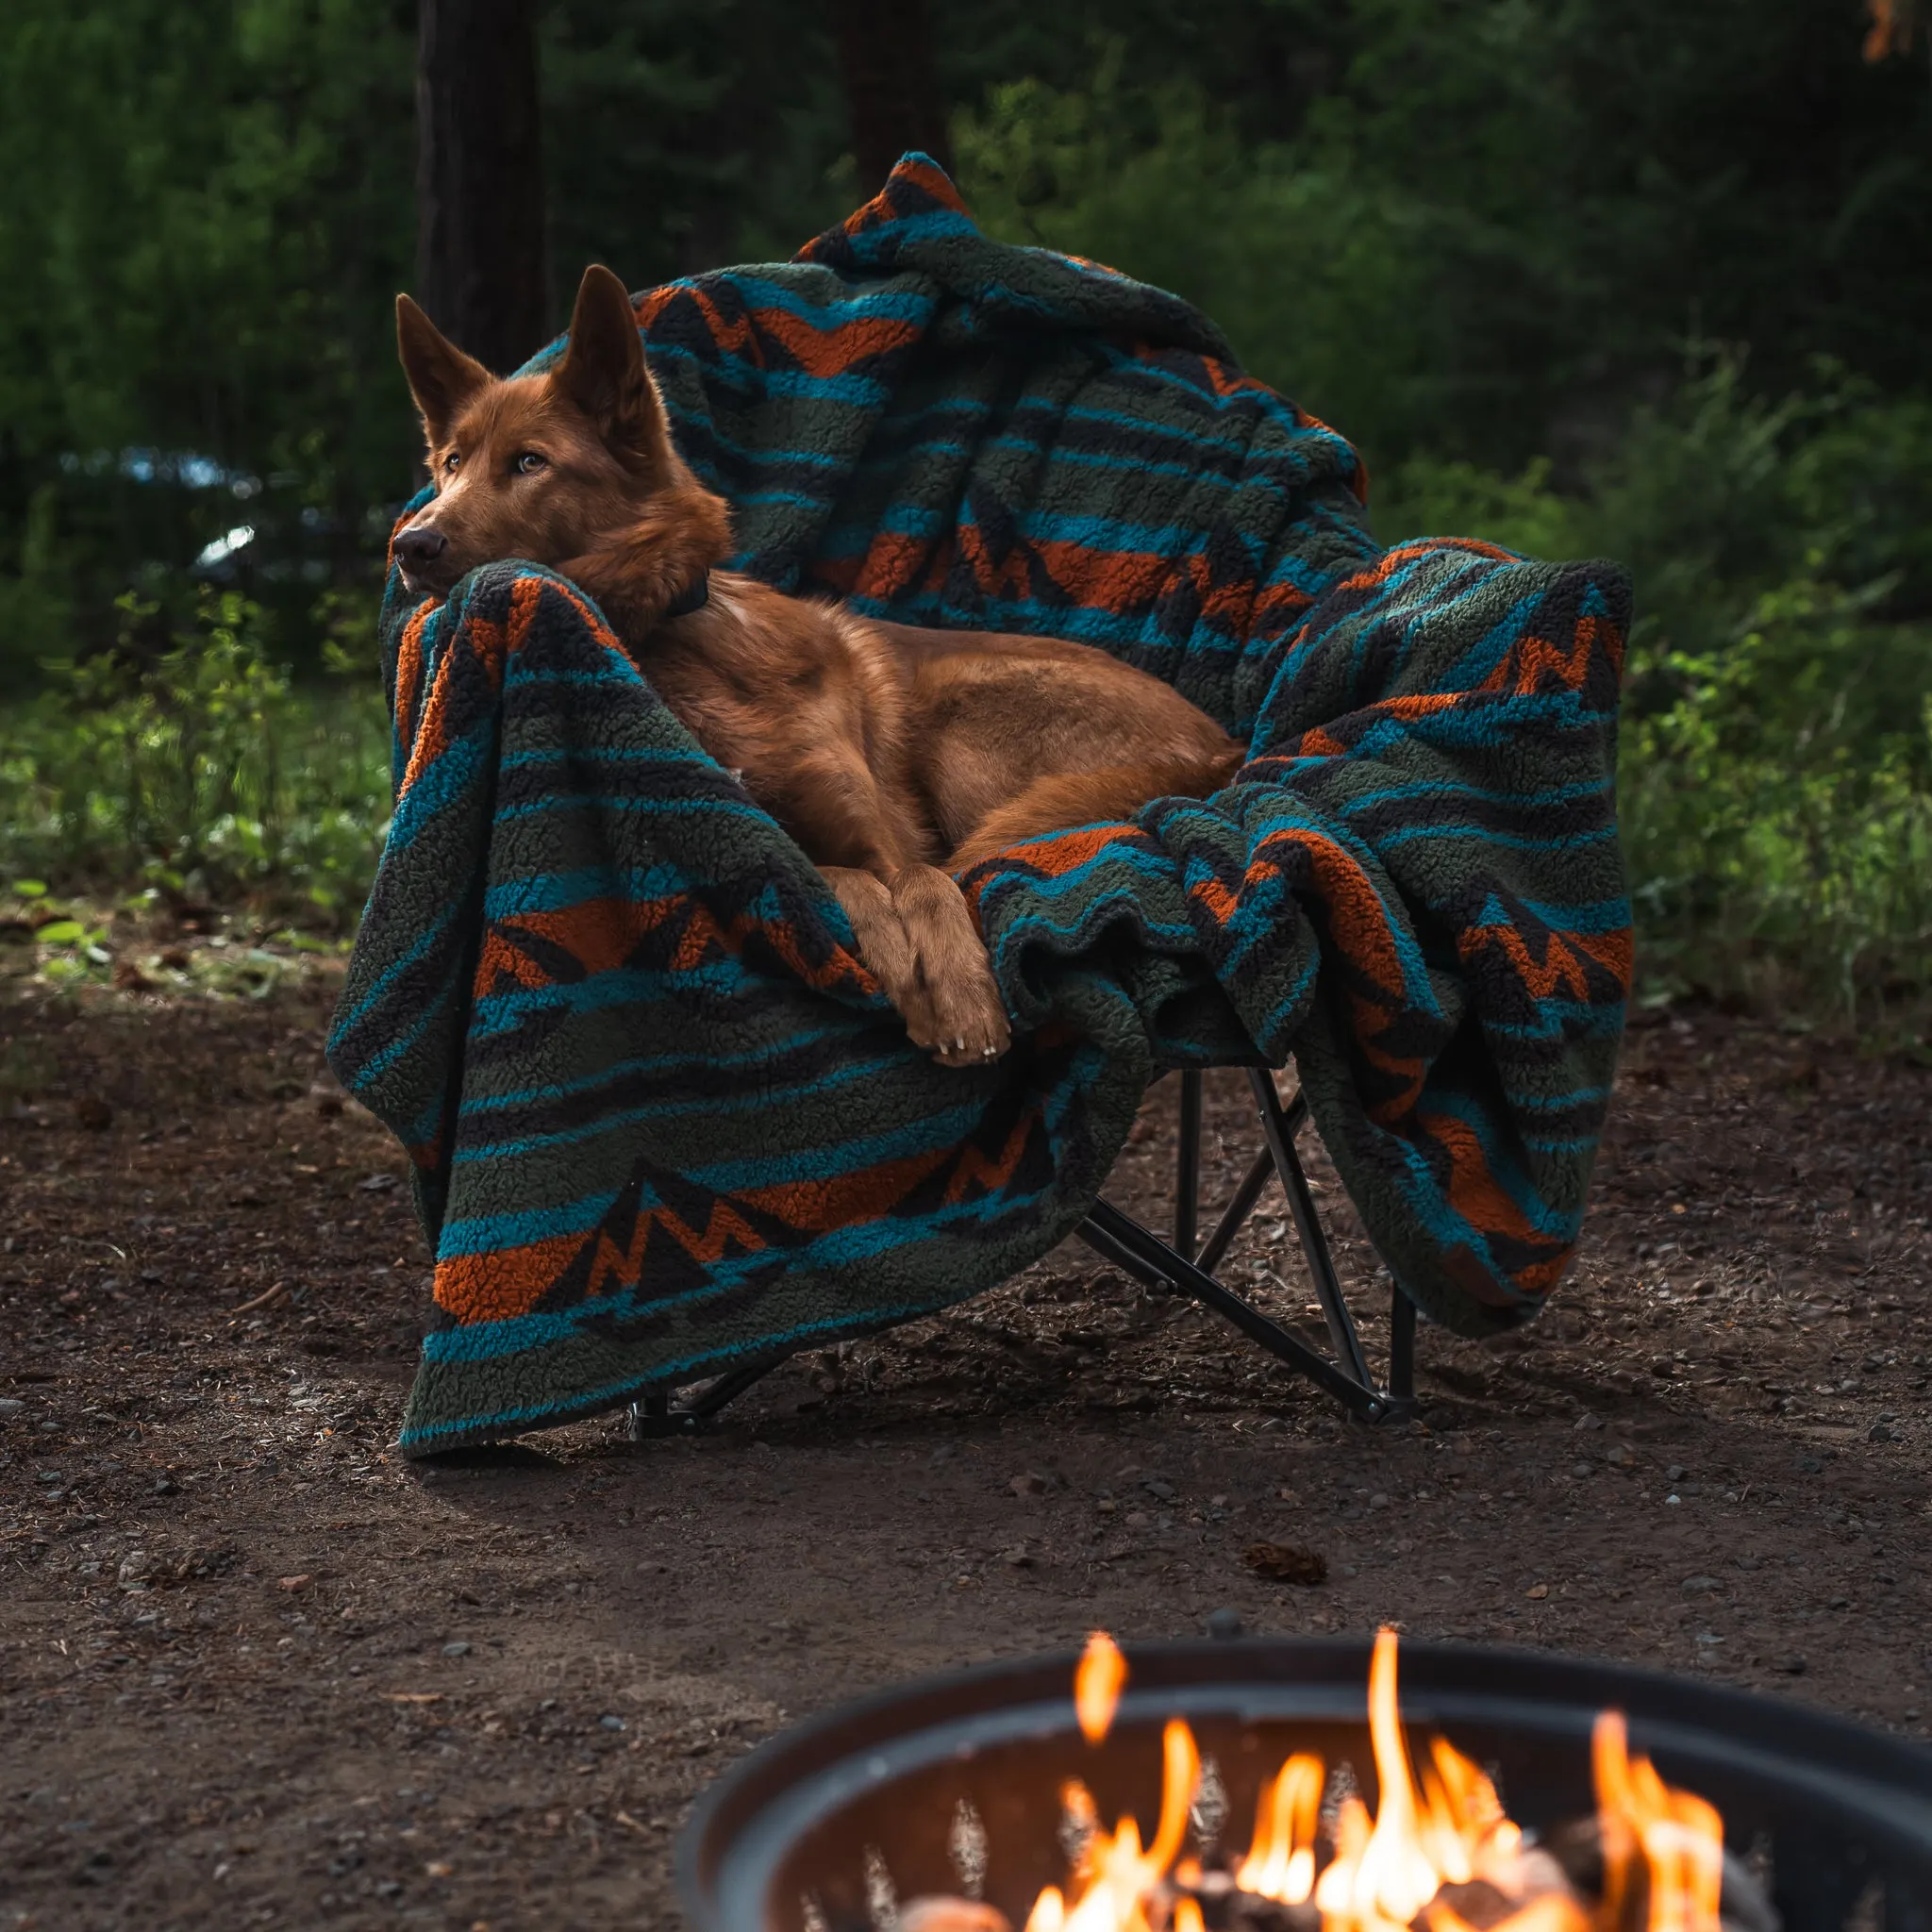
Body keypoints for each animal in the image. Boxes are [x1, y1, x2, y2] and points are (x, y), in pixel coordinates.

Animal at [395, 264, 1236, 1066]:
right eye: (451, 463)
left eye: (529, 463)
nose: (410, 544)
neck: (675, 640)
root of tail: (1224, 750)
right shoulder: (766, 843)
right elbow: (842, 880)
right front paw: (901, 958)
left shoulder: (888, 838)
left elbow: (925, 877)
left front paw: (960, 992)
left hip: (963, 717)